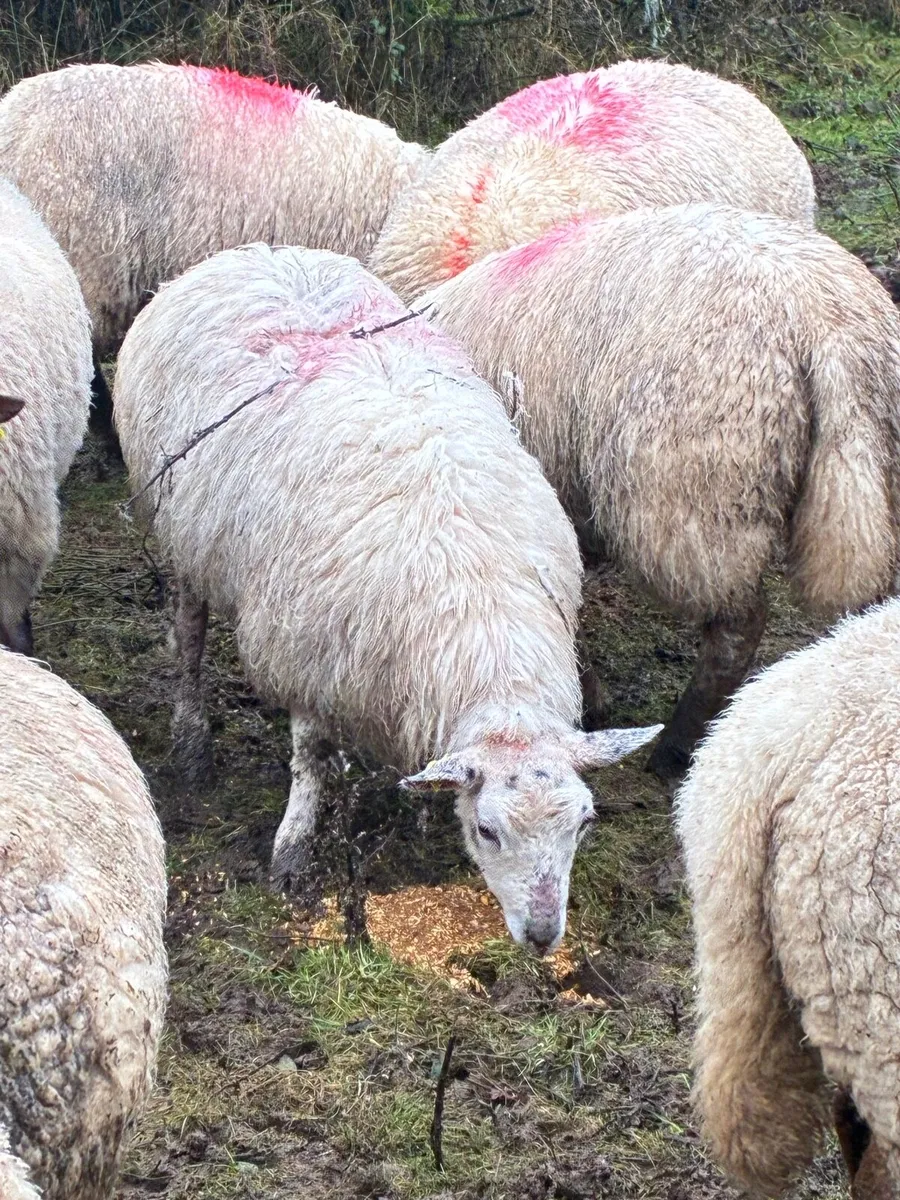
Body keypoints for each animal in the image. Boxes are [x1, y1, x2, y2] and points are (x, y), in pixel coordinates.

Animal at [113, 243, 661, 953]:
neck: (480, 621)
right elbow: (312, 759)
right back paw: (192, 743)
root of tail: (255, 251)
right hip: (177, 531)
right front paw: (292, 852)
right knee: (189, 634)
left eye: (585, 823)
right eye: (488, 831)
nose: (543, 936)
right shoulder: (306, 652)